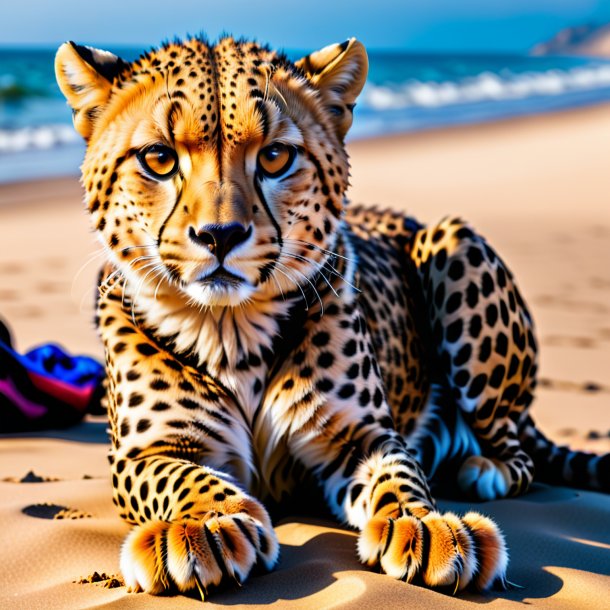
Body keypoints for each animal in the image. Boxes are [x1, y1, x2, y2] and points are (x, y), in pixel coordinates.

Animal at [54, 35, 604, 596]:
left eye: (275, 156)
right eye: (160, 159)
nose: (220, 235)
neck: (232, 329)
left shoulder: (363, 437)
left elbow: (399, 474)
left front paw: (426, 526)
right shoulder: (144, 455)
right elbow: (183, 478)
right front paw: (206, 525)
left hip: (454, 242)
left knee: (519, 453)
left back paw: (482, 467)